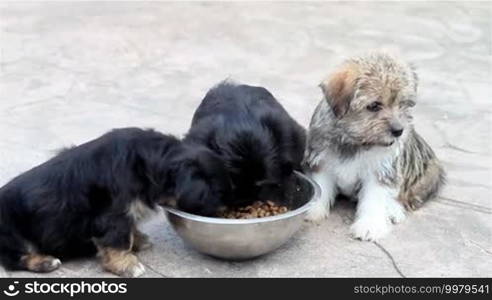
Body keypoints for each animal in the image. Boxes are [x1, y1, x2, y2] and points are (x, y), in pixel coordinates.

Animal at [0, 126, 230, 276]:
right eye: (220, 193)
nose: (229, 210)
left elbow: (130, 230)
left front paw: (139, 240)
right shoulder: (113, 215)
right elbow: (119, 240)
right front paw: (127, 265)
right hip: (12, 232)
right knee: (13, 258)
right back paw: (45, 262)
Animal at [304, 50, 446, 240]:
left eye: (403, 104)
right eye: (374, 105)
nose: (398, 131)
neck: (356, 141)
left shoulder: (381, 171)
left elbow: (374, 199)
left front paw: (369, 225)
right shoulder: (323, 160)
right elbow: (322, 187)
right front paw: (313, 211)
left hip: (429, 175)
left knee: (403, 196)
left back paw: (393, 210)